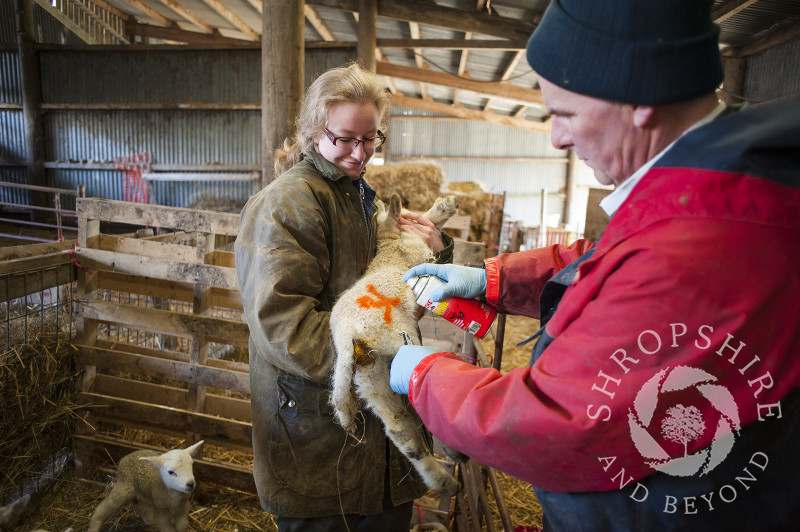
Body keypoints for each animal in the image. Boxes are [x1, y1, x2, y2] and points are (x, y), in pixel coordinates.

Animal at [328, 193, 462, 496]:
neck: (390, 245)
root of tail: (346, 336)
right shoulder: (419, 253)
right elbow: (427, 222)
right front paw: (444, 207)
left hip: (372, 381)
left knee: (402, 433)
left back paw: (445, 481)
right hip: (397, 342)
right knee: (424, 384)